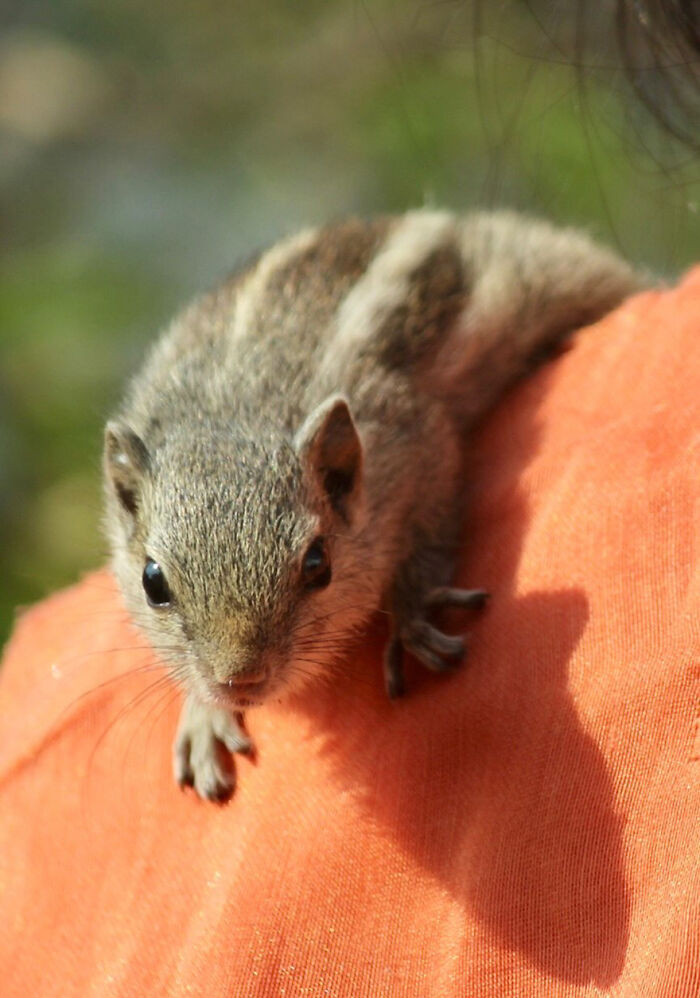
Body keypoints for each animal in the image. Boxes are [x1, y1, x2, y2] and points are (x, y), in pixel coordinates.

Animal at [101, 207, 644, 800]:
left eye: (318, 564)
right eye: (153, 582)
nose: (239, 679)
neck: (234, 411)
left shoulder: (418, 442)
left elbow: (429, 532)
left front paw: (411, 613)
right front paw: (202, 716)